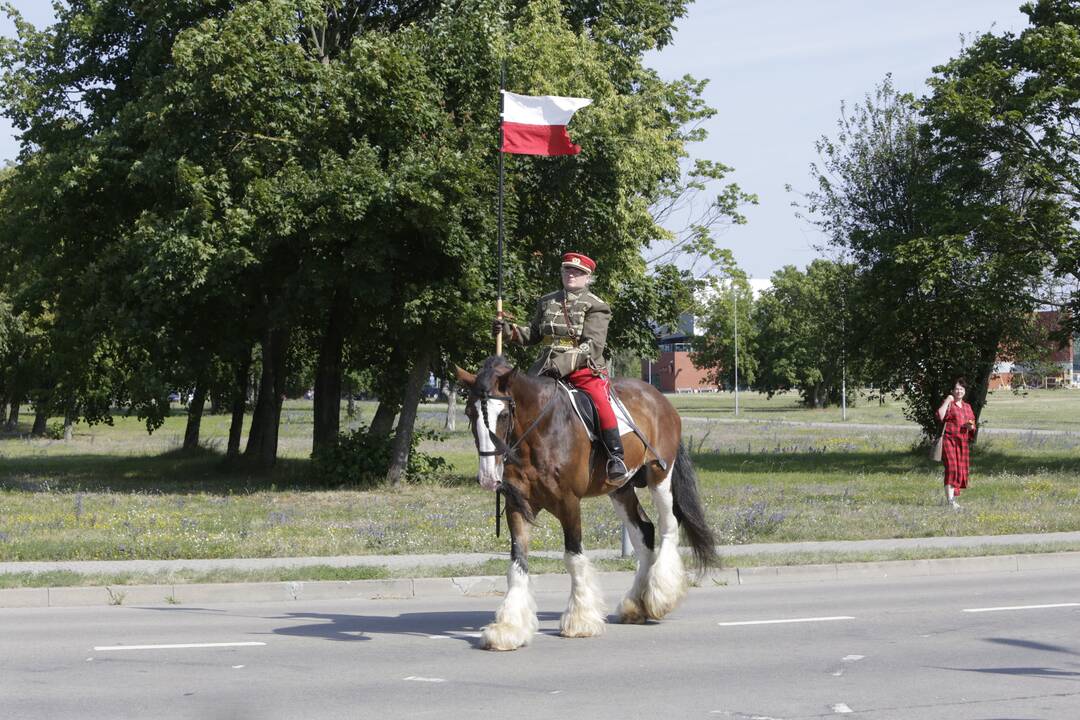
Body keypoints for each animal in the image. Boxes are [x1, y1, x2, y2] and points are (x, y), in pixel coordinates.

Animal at [455, 356, 717, 651]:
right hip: (621, 489)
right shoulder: (517, 505)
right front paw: (509, 627)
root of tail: (660, 399)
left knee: (668, 527)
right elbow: (517, 563)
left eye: (502, 415)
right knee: (643, 533)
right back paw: (636, 603)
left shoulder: (568, 501)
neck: (539, 431)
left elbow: (573, 557)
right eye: (470, 413)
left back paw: (660, 596)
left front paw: (580, 620)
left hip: (660, 476)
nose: (488, 477)